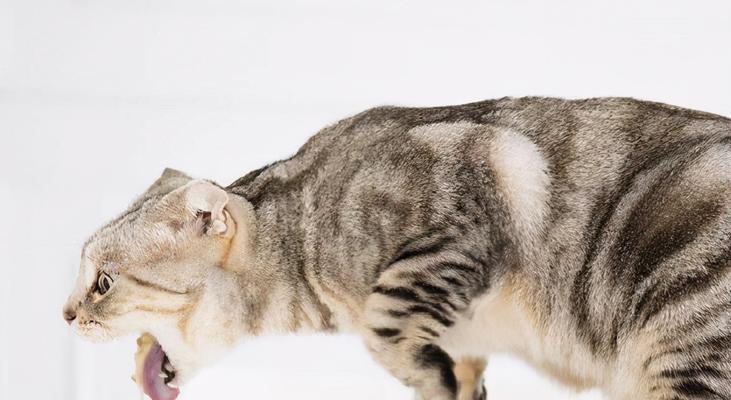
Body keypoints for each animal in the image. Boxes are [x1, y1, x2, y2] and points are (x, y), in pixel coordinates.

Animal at [61, 97, 731, 400]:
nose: (65, 315)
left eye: (103, 282)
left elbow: (386, 325)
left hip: (687, 344)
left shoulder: (457, 217)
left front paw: (433, 379)